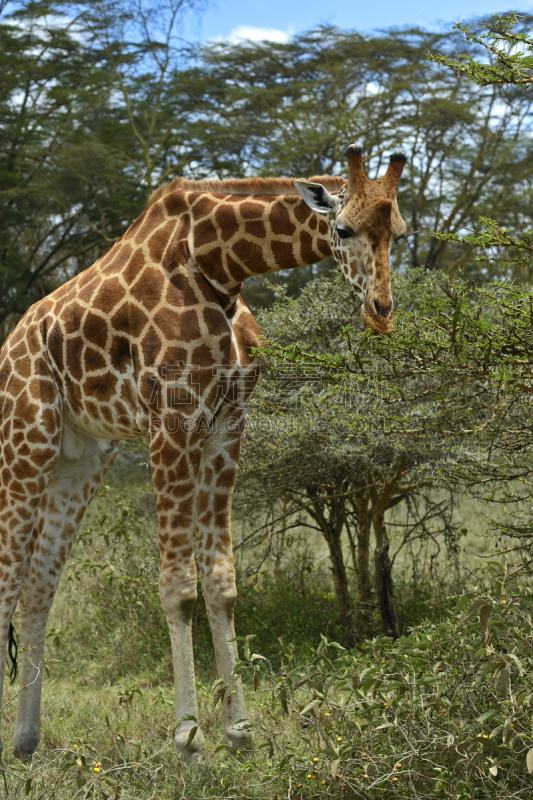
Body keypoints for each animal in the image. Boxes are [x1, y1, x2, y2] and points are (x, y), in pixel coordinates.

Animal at [0, 145, 406, 764]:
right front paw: (189, 738)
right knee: (7, 580)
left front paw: (239, 729)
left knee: (38, 582)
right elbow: (178, 588)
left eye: (400, 232)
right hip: (25, 440)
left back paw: (26, 740)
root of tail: (8, 348)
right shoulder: (171, 423)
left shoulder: (226, 429)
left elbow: (221, 582)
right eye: (342, 228)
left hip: (81, 456)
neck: (219, 267)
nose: (380, 311)